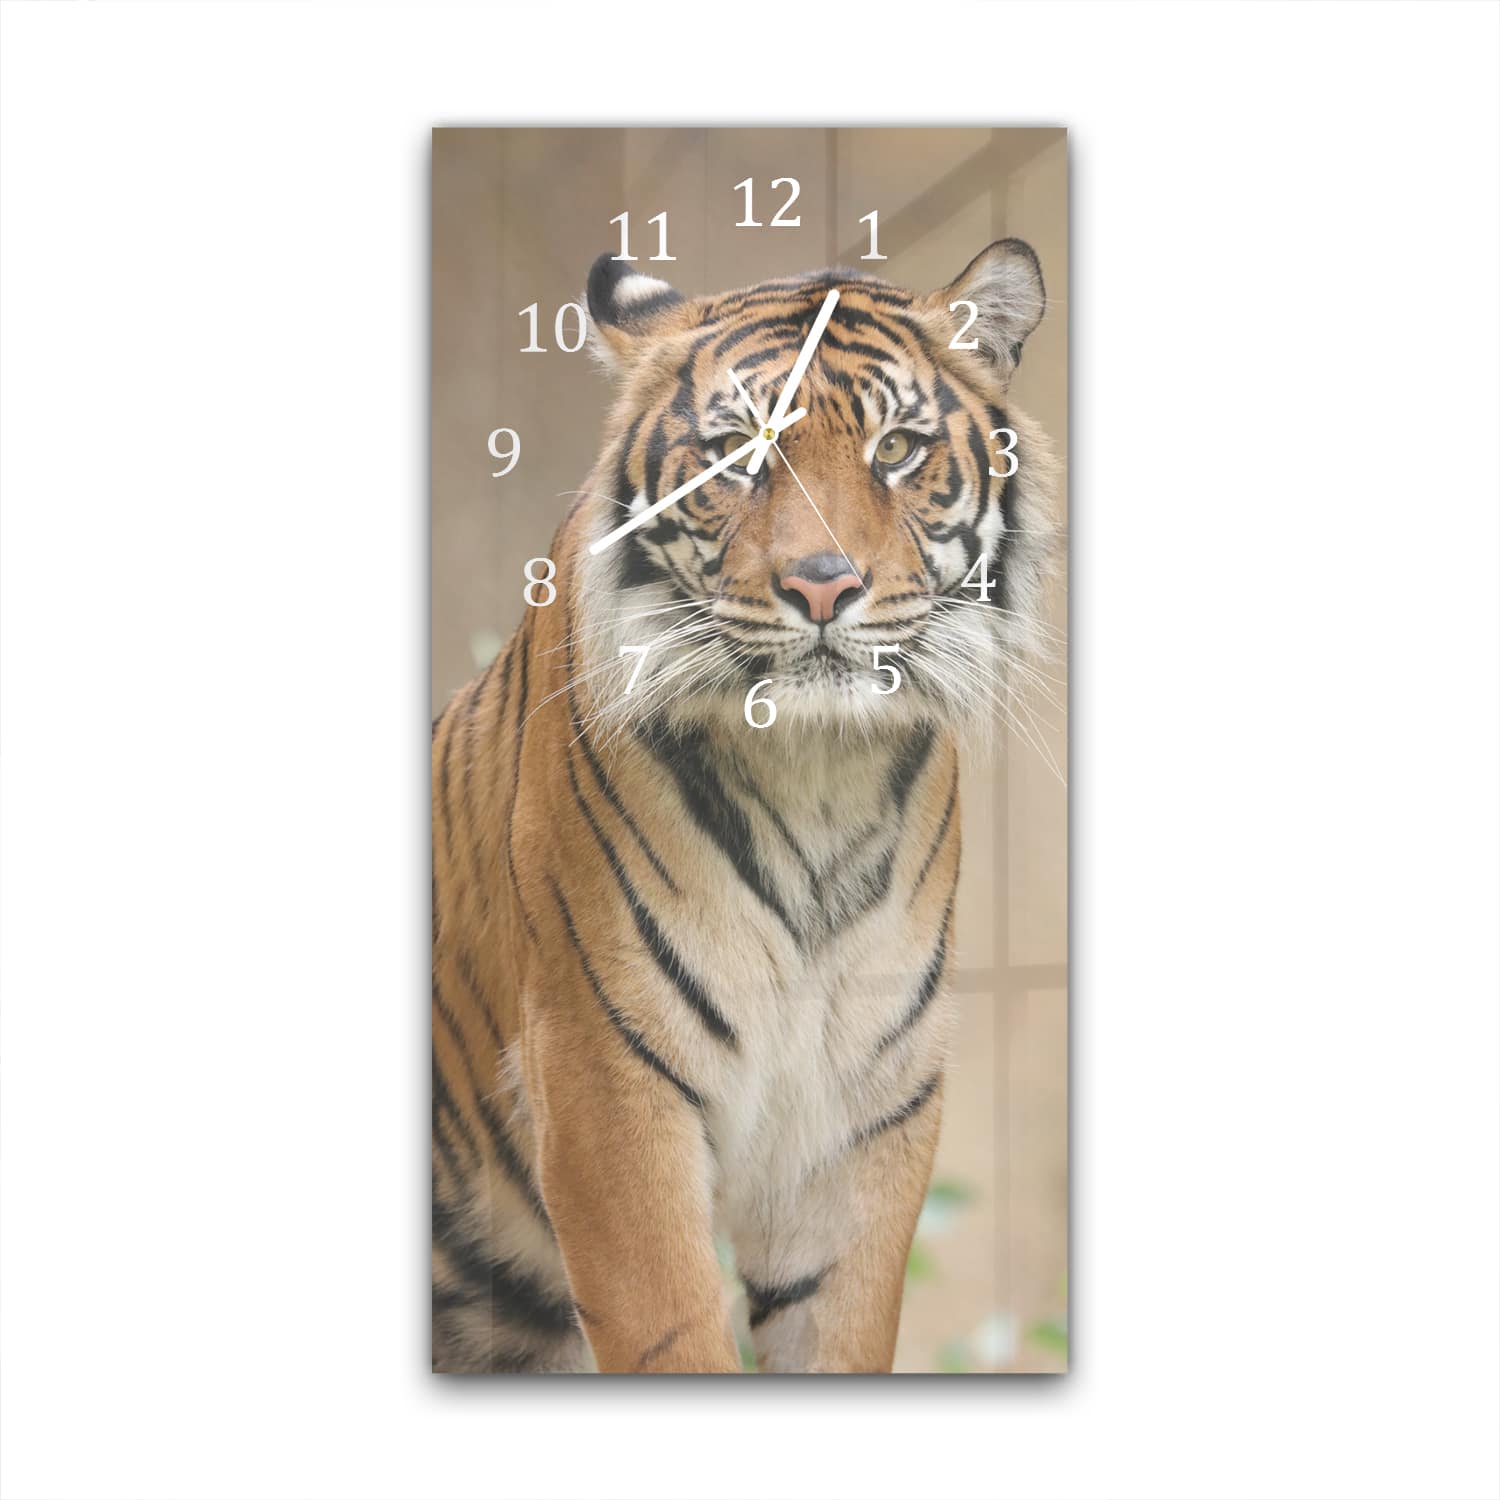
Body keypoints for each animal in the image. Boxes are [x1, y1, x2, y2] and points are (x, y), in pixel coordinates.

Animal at [431, 238, 1058, 1374]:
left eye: (898, 448)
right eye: (737, 453)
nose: (822, 586)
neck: (816, 773)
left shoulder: (867, 1110)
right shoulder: (604, 1081)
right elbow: (672, 1331)